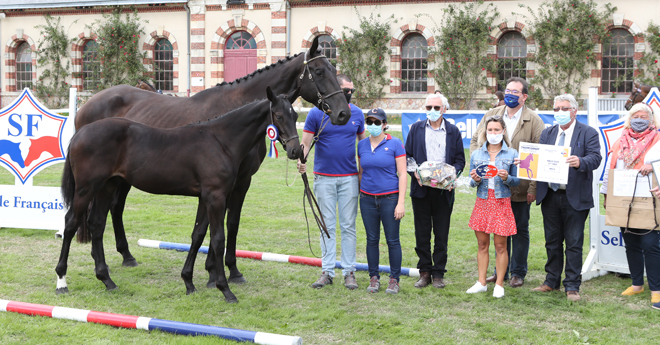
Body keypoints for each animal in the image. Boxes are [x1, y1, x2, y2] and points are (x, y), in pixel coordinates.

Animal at [56, 88, 300, 300]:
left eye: (295, 115)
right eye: (279, 115)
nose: (296, 150)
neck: (221, 141)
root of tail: (79, 134)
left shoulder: (205, 197)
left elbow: (198, 234)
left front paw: (189, 282)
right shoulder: (216, 197)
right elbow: (218, 239)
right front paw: (225, 289)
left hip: (107, 186)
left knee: (96, 224)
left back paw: (106, 279)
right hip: (86, 188)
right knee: (70, 223)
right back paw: (61, 280)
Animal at [74, 36, 348, 286]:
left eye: (335, 70)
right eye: (319, 72)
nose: (343, 113)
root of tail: (86, 106)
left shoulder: (240, 181)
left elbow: (230, 223)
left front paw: (227, 271)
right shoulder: (224, 183)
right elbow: (214, 226)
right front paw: (214, 273)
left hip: (120, 178)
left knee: (115, 209)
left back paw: (125, 256)